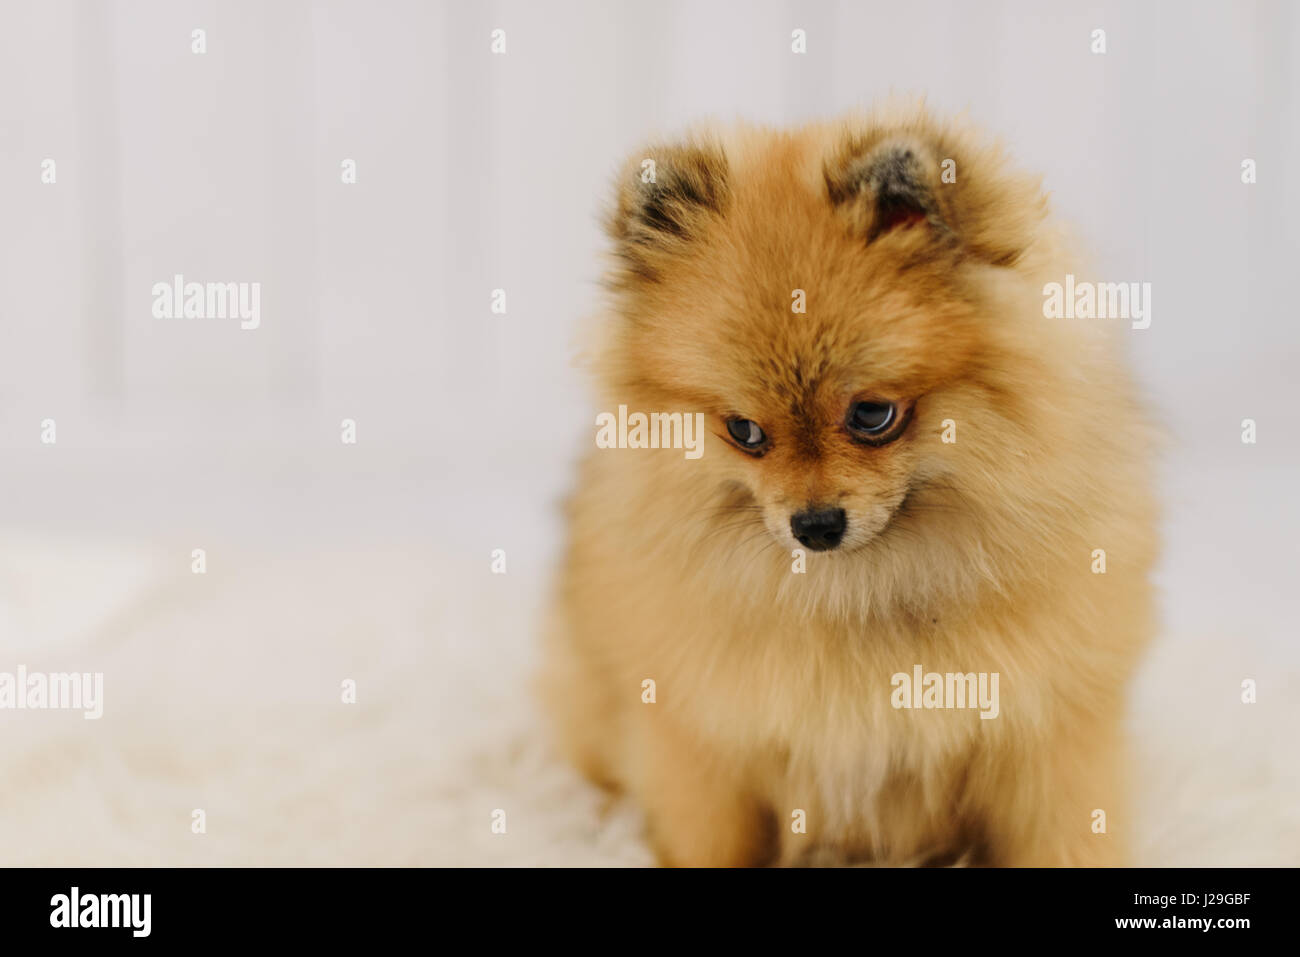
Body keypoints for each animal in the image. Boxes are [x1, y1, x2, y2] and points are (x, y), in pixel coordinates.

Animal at [538, 98, 1159, 868]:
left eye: (872, 415)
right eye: (744, 431)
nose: (815, 525)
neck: (863, 594)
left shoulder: (1048, 737)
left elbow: (1064, 836)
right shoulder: (702, 745)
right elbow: (707, 838)